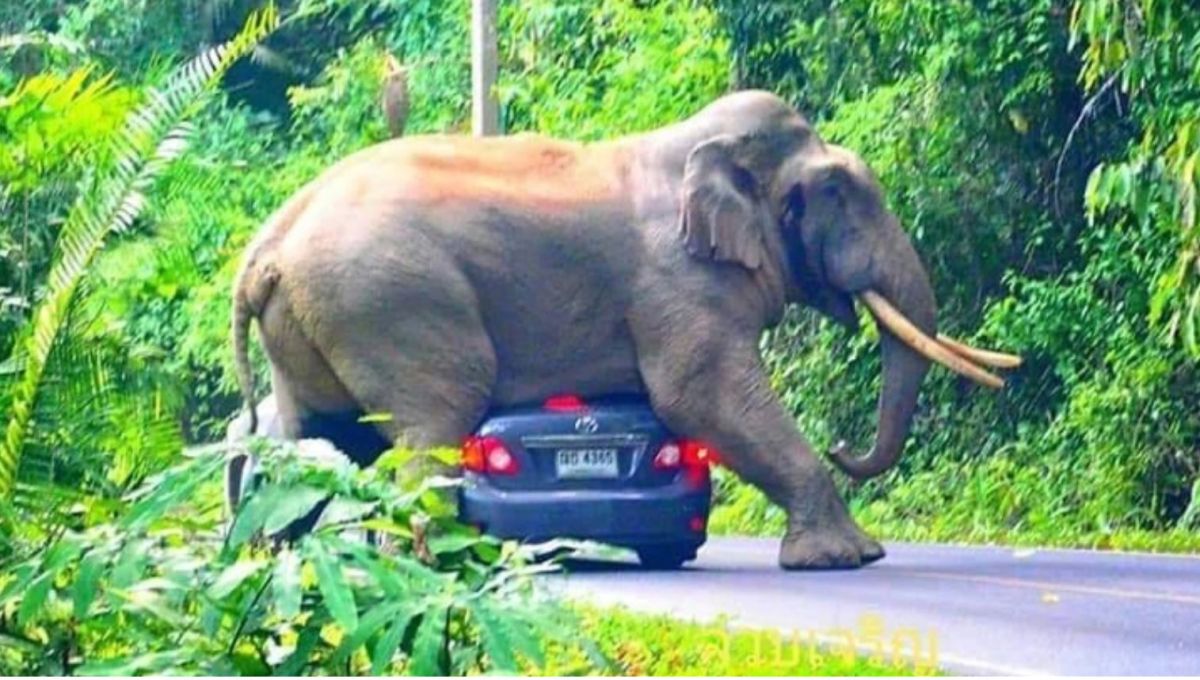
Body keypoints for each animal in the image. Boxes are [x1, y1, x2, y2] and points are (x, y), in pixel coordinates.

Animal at [230, 90, 1018, 569]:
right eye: (836, 191)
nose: (845, 446)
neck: (697, 146)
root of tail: (267, 245)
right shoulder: (677, 281)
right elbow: (701, 398)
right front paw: (848, 559)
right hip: (391, 303)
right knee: (434, 419)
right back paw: (444, 564)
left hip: (316, 321)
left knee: (317, 435)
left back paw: (280, 562)